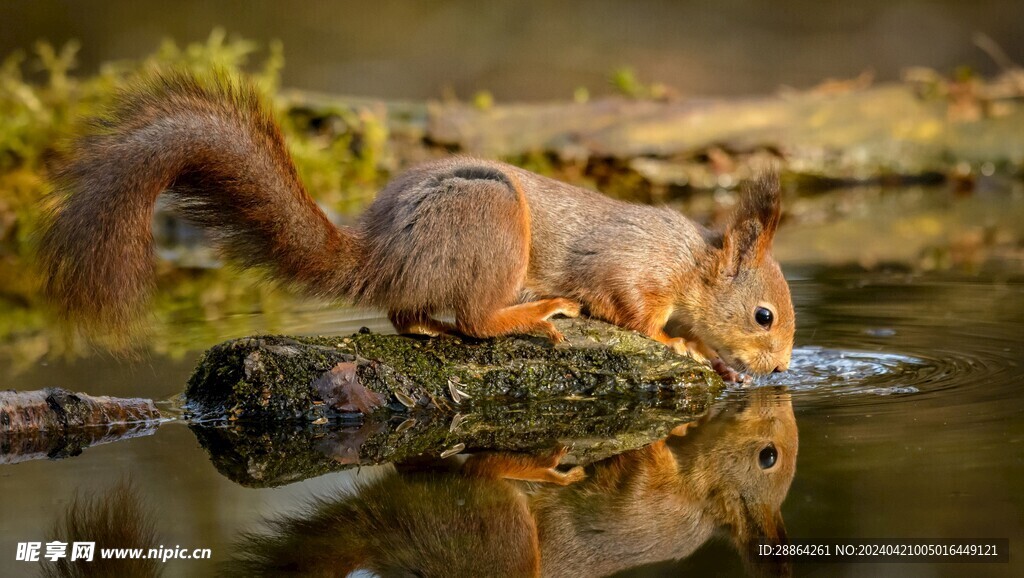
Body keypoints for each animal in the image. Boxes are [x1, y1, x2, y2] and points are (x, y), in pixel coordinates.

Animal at [37, 71, 790, 379]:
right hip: (491, 220)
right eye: (763, 316)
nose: (782, 368)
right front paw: (684, 345)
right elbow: (631, 311)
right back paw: (532, 313)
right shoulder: (630, 269)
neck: (691, 263)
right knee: (478, 319)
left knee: (408, 315)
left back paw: (433, 325)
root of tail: (382, 253)